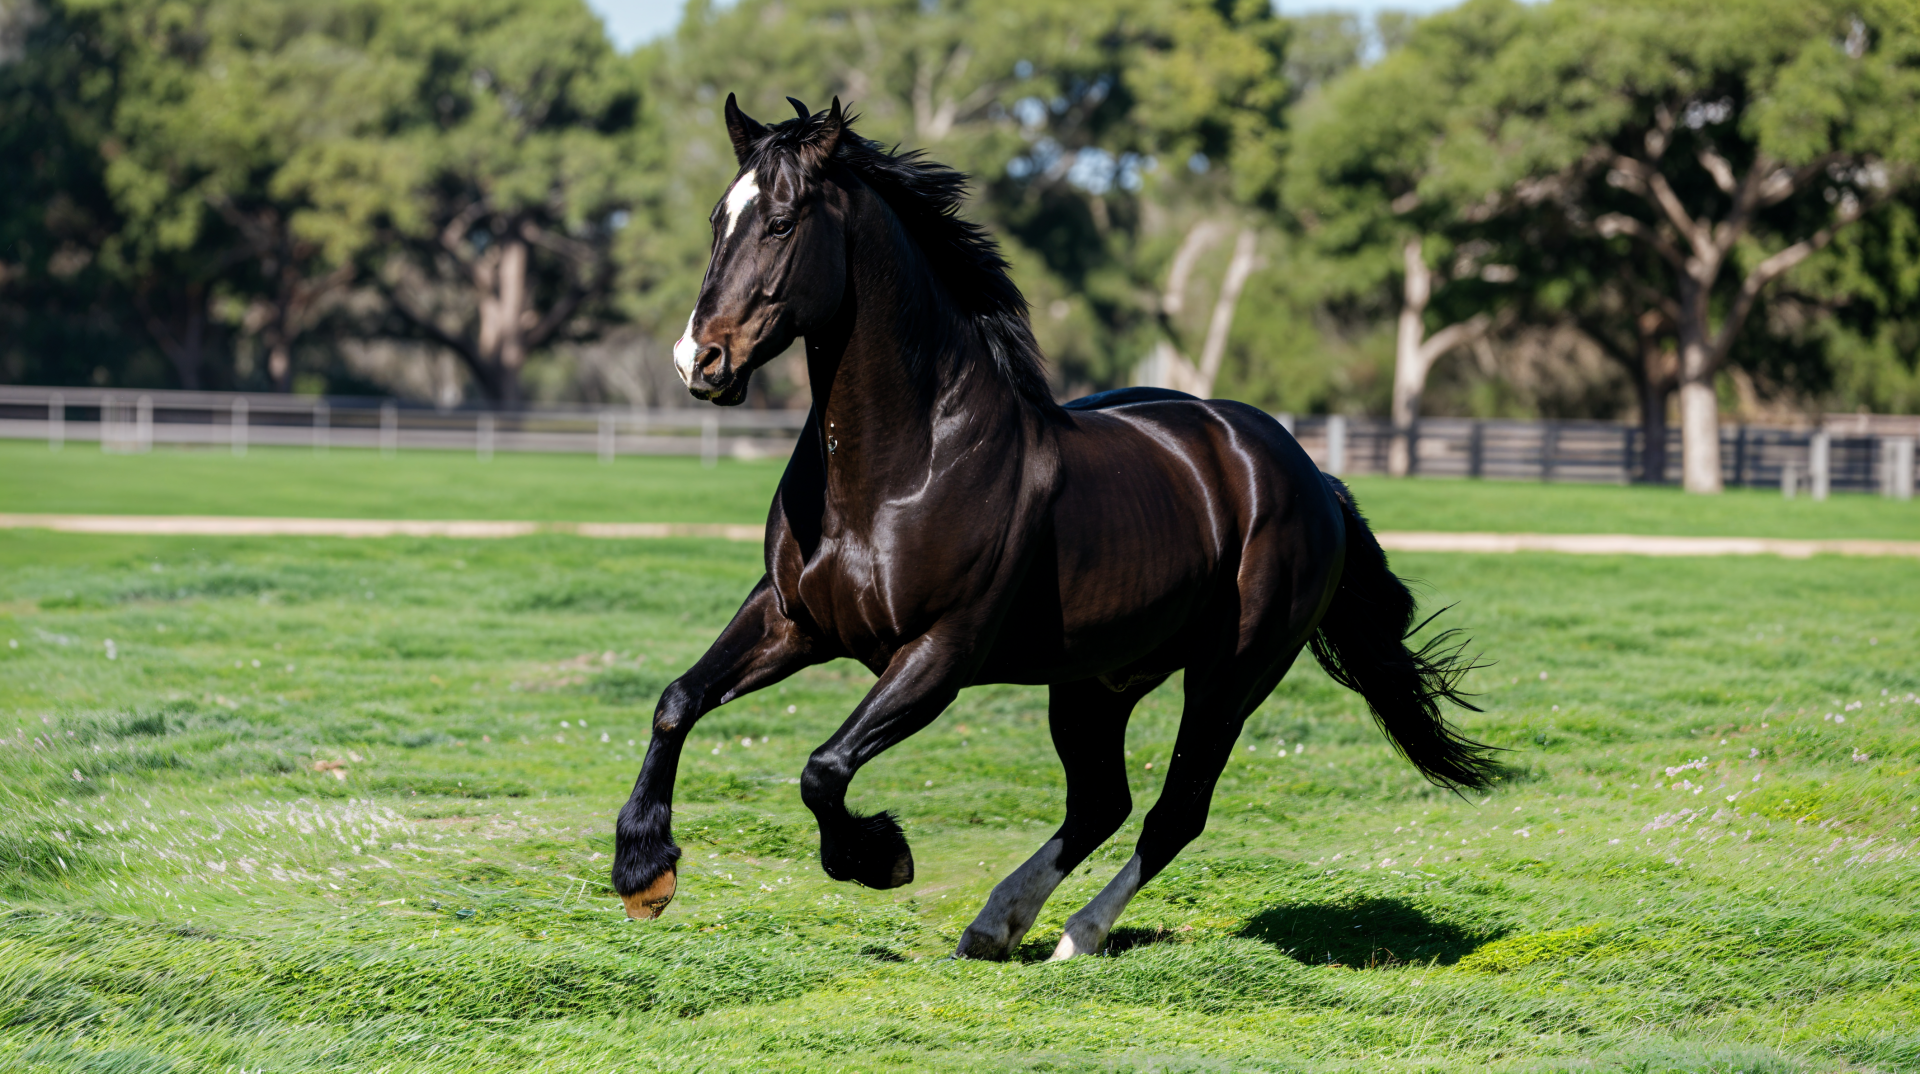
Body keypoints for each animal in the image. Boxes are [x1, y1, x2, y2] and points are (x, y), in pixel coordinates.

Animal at [611, 95, 1499, 961]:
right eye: (718, 220)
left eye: (782, 221)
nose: (699, 362)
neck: (904, 467)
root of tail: (1309, 475)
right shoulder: (793, 618)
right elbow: (678, 701)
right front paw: (644, 872)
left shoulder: (938, 653)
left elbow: (823, 770)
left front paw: (880, 858)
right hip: (1098, 681)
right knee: (1103, 801)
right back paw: (997, 923)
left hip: (1229, 678)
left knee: (1174, 813)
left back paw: (1077, 936)